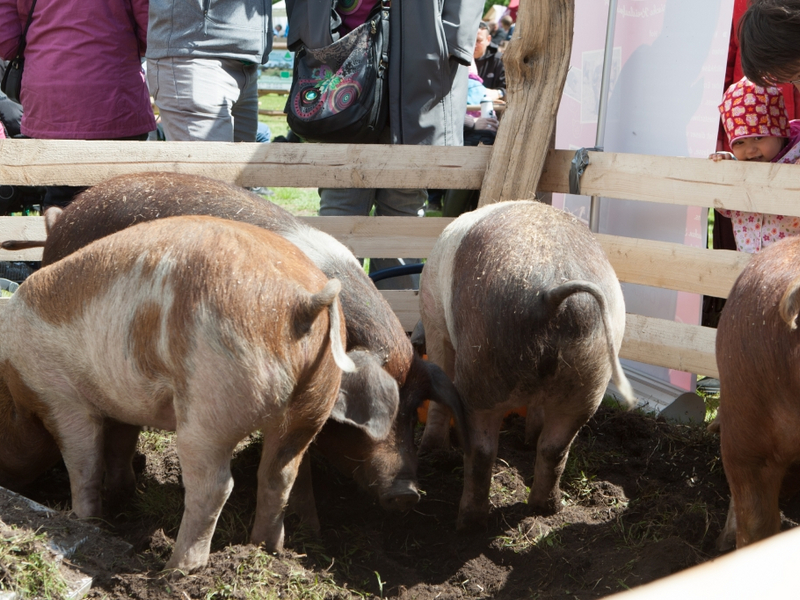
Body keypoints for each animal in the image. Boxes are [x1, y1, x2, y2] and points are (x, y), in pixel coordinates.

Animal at [0, 216, 356, 572]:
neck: (14, 384)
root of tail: (303, 298)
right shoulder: (122, 402)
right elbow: (120, 445)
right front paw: (122, 495)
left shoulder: (59, 396)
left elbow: (83, 461)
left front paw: (85, 521)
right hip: (313, 405)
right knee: (279, 475)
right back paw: (266, 549)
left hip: (211, 399)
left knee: (214, 486)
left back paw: (178, 569)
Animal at [416, 200, 636, 528]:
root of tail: (552, 293)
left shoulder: (434, 323)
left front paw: (430, 450)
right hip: (589, 381)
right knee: (554, 449)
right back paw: (546, 507)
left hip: (482, 372)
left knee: (482, 450)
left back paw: (468, 522)